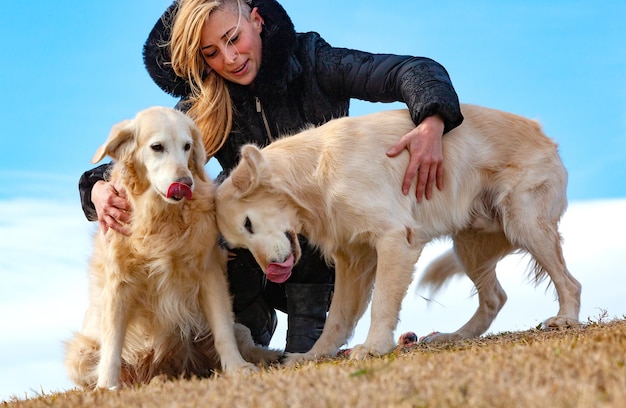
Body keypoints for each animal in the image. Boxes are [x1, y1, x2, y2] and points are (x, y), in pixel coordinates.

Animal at [64, 107, 280, 388]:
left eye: (187, 146)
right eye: (157, 147)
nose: (185, 183)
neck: (161, 216)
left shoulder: (209, 273)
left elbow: (222, 329)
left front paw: (237, 367)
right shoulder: (117, 285)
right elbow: (112, 345)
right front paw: (107, 386)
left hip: (237, 329)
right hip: (79, 354)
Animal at [213, 103, 580, 362]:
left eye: (248, 223)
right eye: (239, 243)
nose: (272, 273)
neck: (313, 172)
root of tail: (544, 134)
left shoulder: (393, 239)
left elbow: (382, 304)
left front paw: (374, 347)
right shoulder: (353, 259)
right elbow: (337, 318)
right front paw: (315, 355)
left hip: (525, 223)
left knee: (569, 283)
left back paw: (565, 319)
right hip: (470, 246)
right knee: (494, 298)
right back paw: (455, 336)